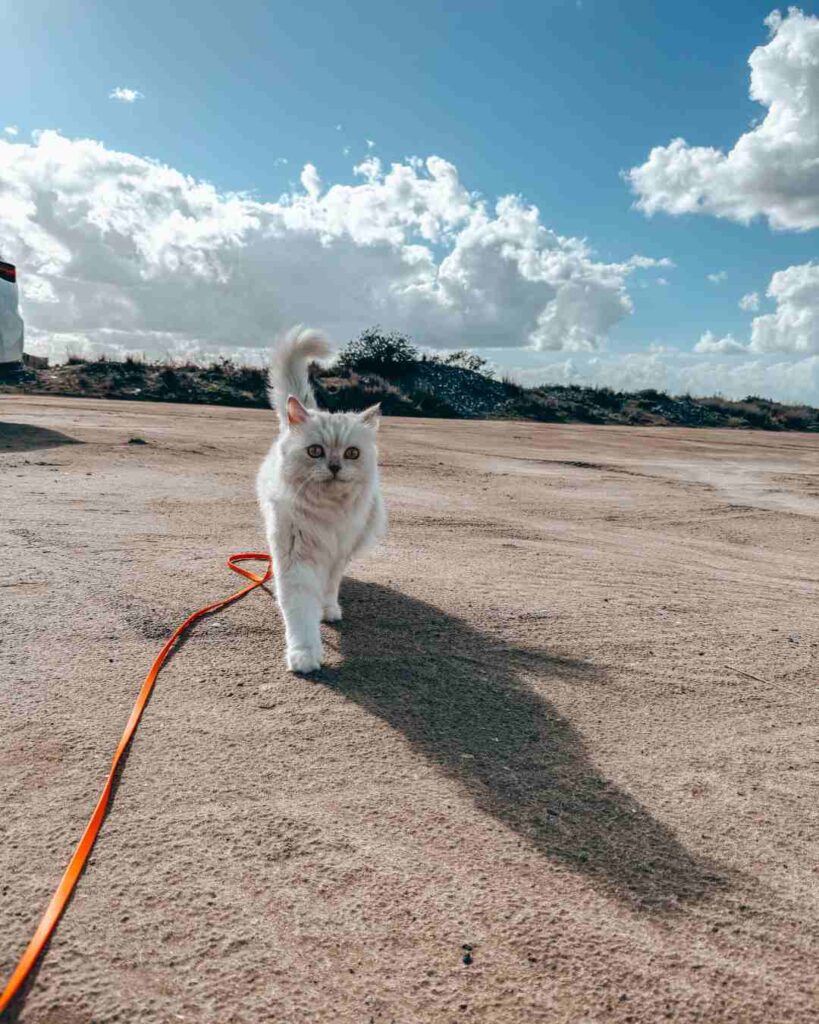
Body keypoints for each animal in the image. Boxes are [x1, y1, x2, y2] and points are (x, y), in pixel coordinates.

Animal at [255, 325, 386, 671]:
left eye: (352, 453)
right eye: (315, 451)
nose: (335, 467)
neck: (328, 514)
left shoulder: (338, 552)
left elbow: (329, 587)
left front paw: (328, 611)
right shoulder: (296, 558)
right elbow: (300, 613)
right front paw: (304, 655)